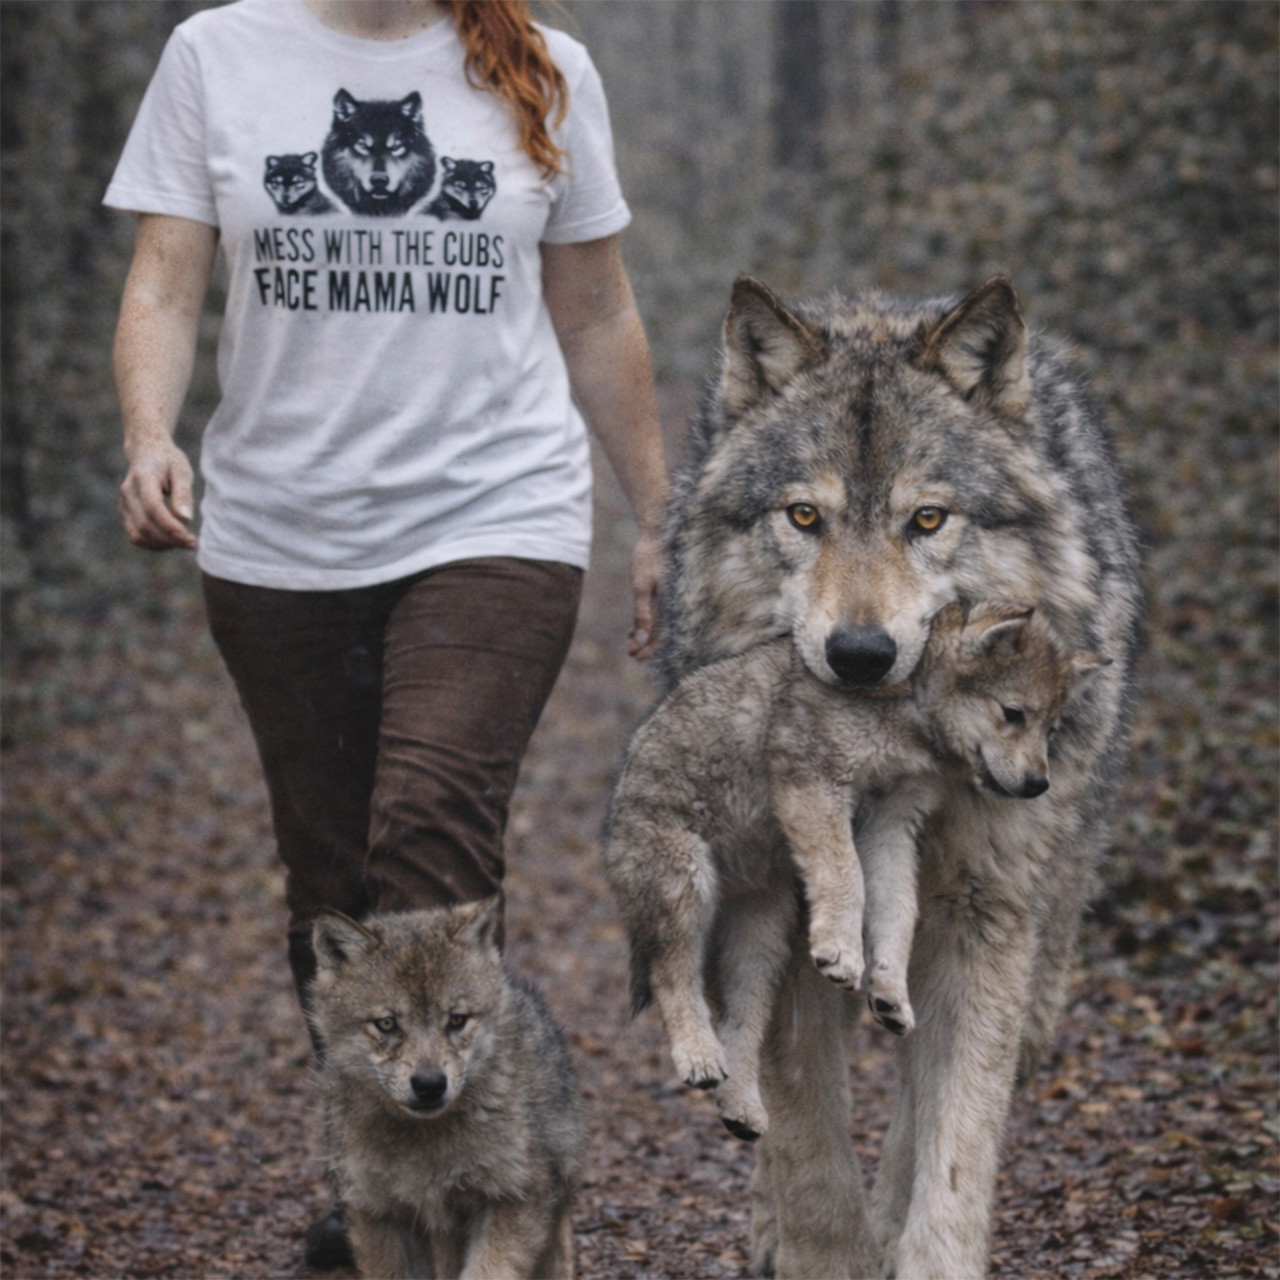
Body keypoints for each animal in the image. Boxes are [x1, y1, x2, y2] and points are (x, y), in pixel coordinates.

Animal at [307, 899, 586, 1280]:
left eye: (457, 1019)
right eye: (387, 1023)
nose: (430, 1085)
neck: (426, 1143)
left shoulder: (515, 1194)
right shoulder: (375, 1211)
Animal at [605, 600, 1107, 1143]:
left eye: (1050, 730)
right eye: (1013, 713)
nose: (1039, 784)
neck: (908, 711)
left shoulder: (890, 824)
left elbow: (897, 911)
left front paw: (889, 990)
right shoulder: (816, 785)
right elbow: (846, 877)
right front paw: (843, 953)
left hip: (760, 943)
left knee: (742, 1019)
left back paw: (741, 1104)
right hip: (686, 883)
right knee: (671, 973)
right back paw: (697, 1054)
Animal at [658, 275, 1142, 1278]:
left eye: (928, 519)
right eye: (805, 517)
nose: (860, 653)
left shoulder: (986, 917)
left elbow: (955, 1136)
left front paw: (919, 1252)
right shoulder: (798, 919)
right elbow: (807, 1138)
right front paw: (823, 1251)